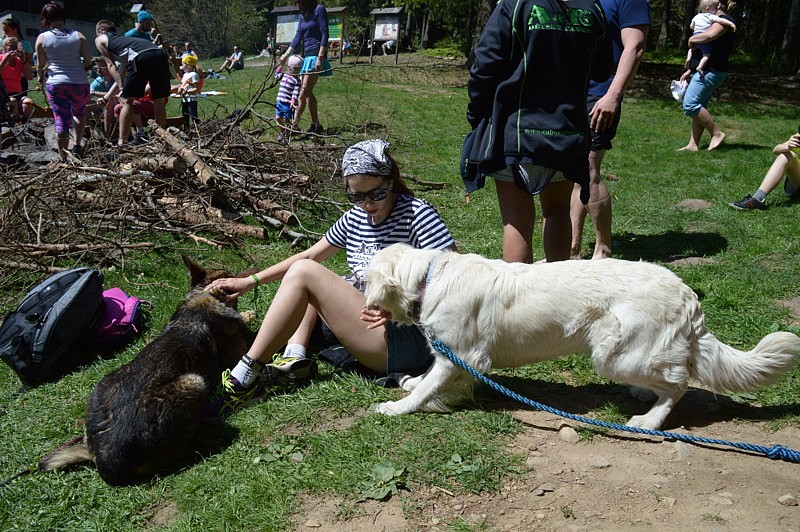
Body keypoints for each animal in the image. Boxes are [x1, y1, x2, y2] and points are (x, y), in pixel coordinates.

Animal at [39, 258, 253, 486]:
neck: (204, 293)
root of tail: (107, 462)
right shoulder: (238, 353)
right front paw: (247, 315)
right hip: (194, 383)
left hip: (102, 385)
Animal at [366, 243, 800, 430]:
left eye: (364, 276)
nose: (359, 292)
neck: (429, 278)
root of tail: (686, 294)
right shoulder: (453, 356)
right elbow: (428, 380)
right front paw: (412, 384)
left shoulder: (462, 354)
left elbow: (428, 388)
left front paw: (397, 408)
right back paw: (643, 395)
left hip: (613, 355)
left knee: (679, 385)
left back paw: (649, 420)